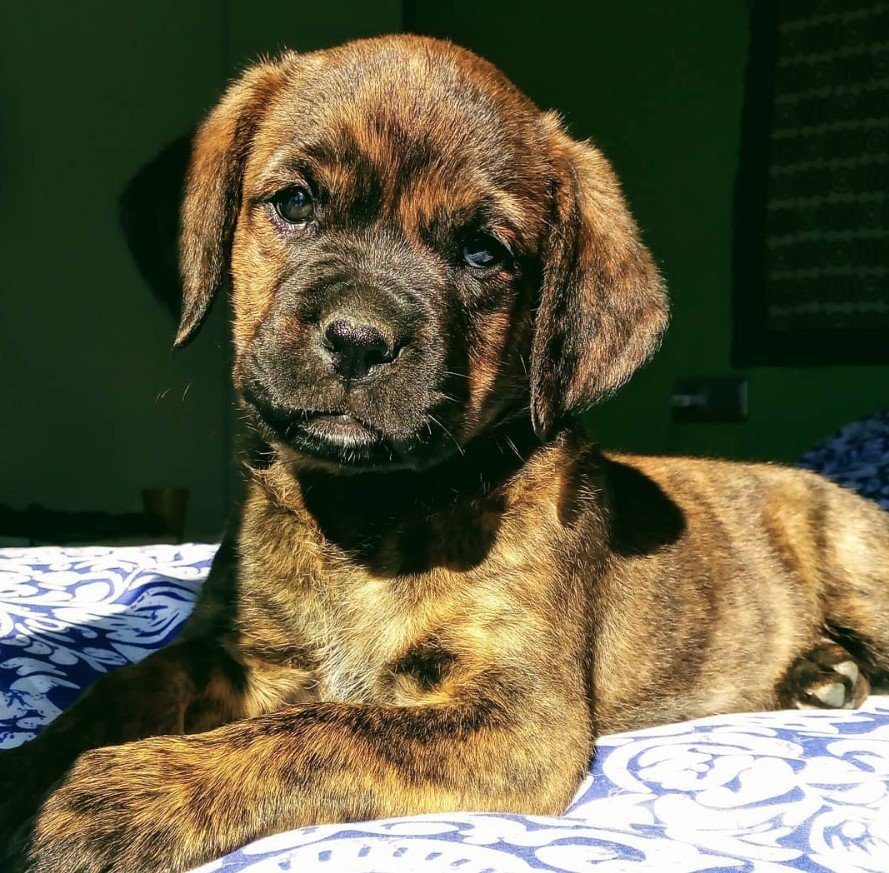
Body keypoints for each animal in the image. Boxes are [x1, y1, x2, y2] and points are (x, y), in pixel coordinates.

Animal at [5, 32, 888, 864]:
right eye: (293, 203)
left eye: (483, 252)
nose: (358, 340)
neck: (362, 512)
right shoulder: (232, 649)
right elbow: (125, 684)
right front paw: (34, 770)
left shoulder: (518, 712)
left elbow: (322, 731)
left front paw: (118, 796)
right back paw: (819, 672)